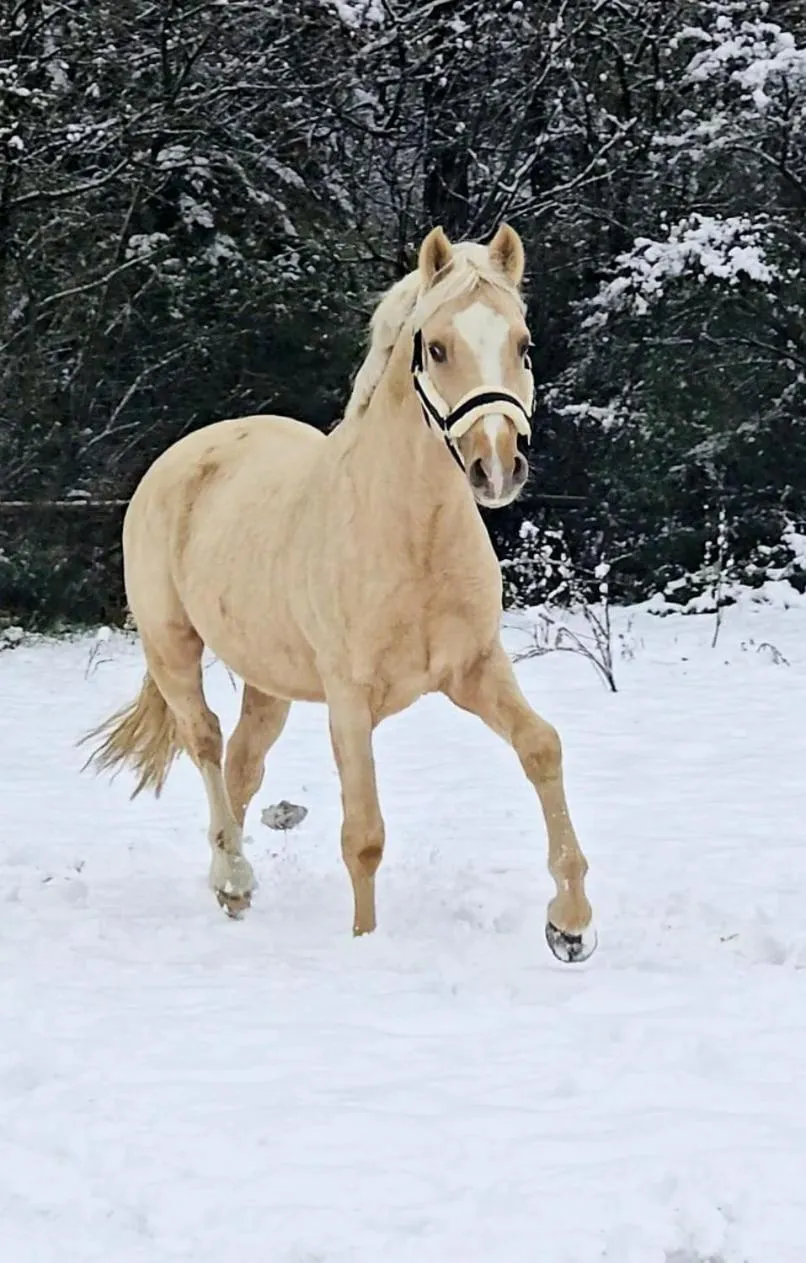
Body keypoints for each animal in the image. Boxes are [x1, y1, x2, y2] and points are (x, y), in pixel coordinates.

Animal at [81, 223, 596, 963]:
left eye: (523, 344)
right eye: (437, 347)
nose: (496, 466)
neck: (410, 534)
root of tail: (183, 456)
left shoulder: (475, 670)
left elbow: (541, 747)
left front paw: (569, 923)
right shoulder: (350, 700)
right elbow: (364, 833)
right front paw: (364, 943)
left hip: (269, 681)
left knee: (242, 764)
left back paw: (228, 889)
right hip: (171, 647)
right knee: (204, 741)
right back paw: (234, 876)